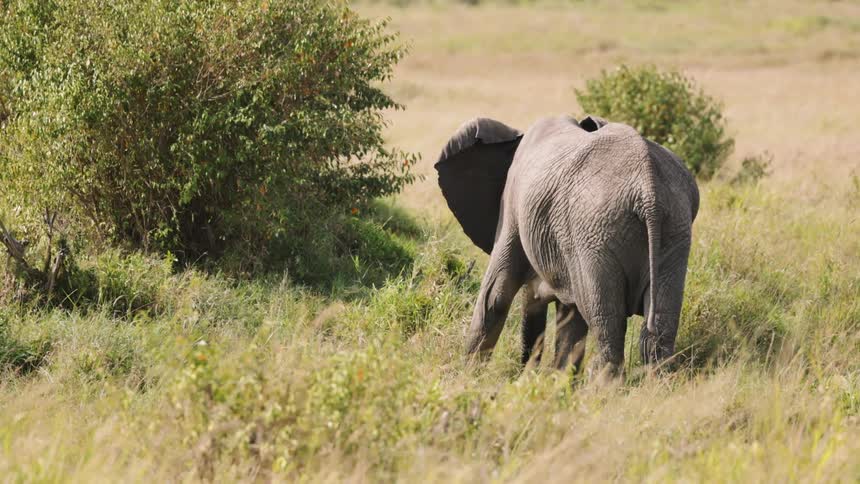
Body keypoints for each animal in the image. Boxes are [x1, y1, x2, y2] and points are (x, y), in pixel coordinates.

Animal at [434, 115, 699, 378]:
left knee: (605, 318)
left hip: (594, 232)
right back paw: (659, 380)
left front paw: (467, 376)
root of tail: (648, 188)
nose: (525, 370)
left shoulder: (512, 206)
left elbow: (495, 295)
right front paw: (560, 381)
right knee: (659, 322)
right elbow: (569, 317)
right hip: (673, 228)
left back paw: (604, 384)